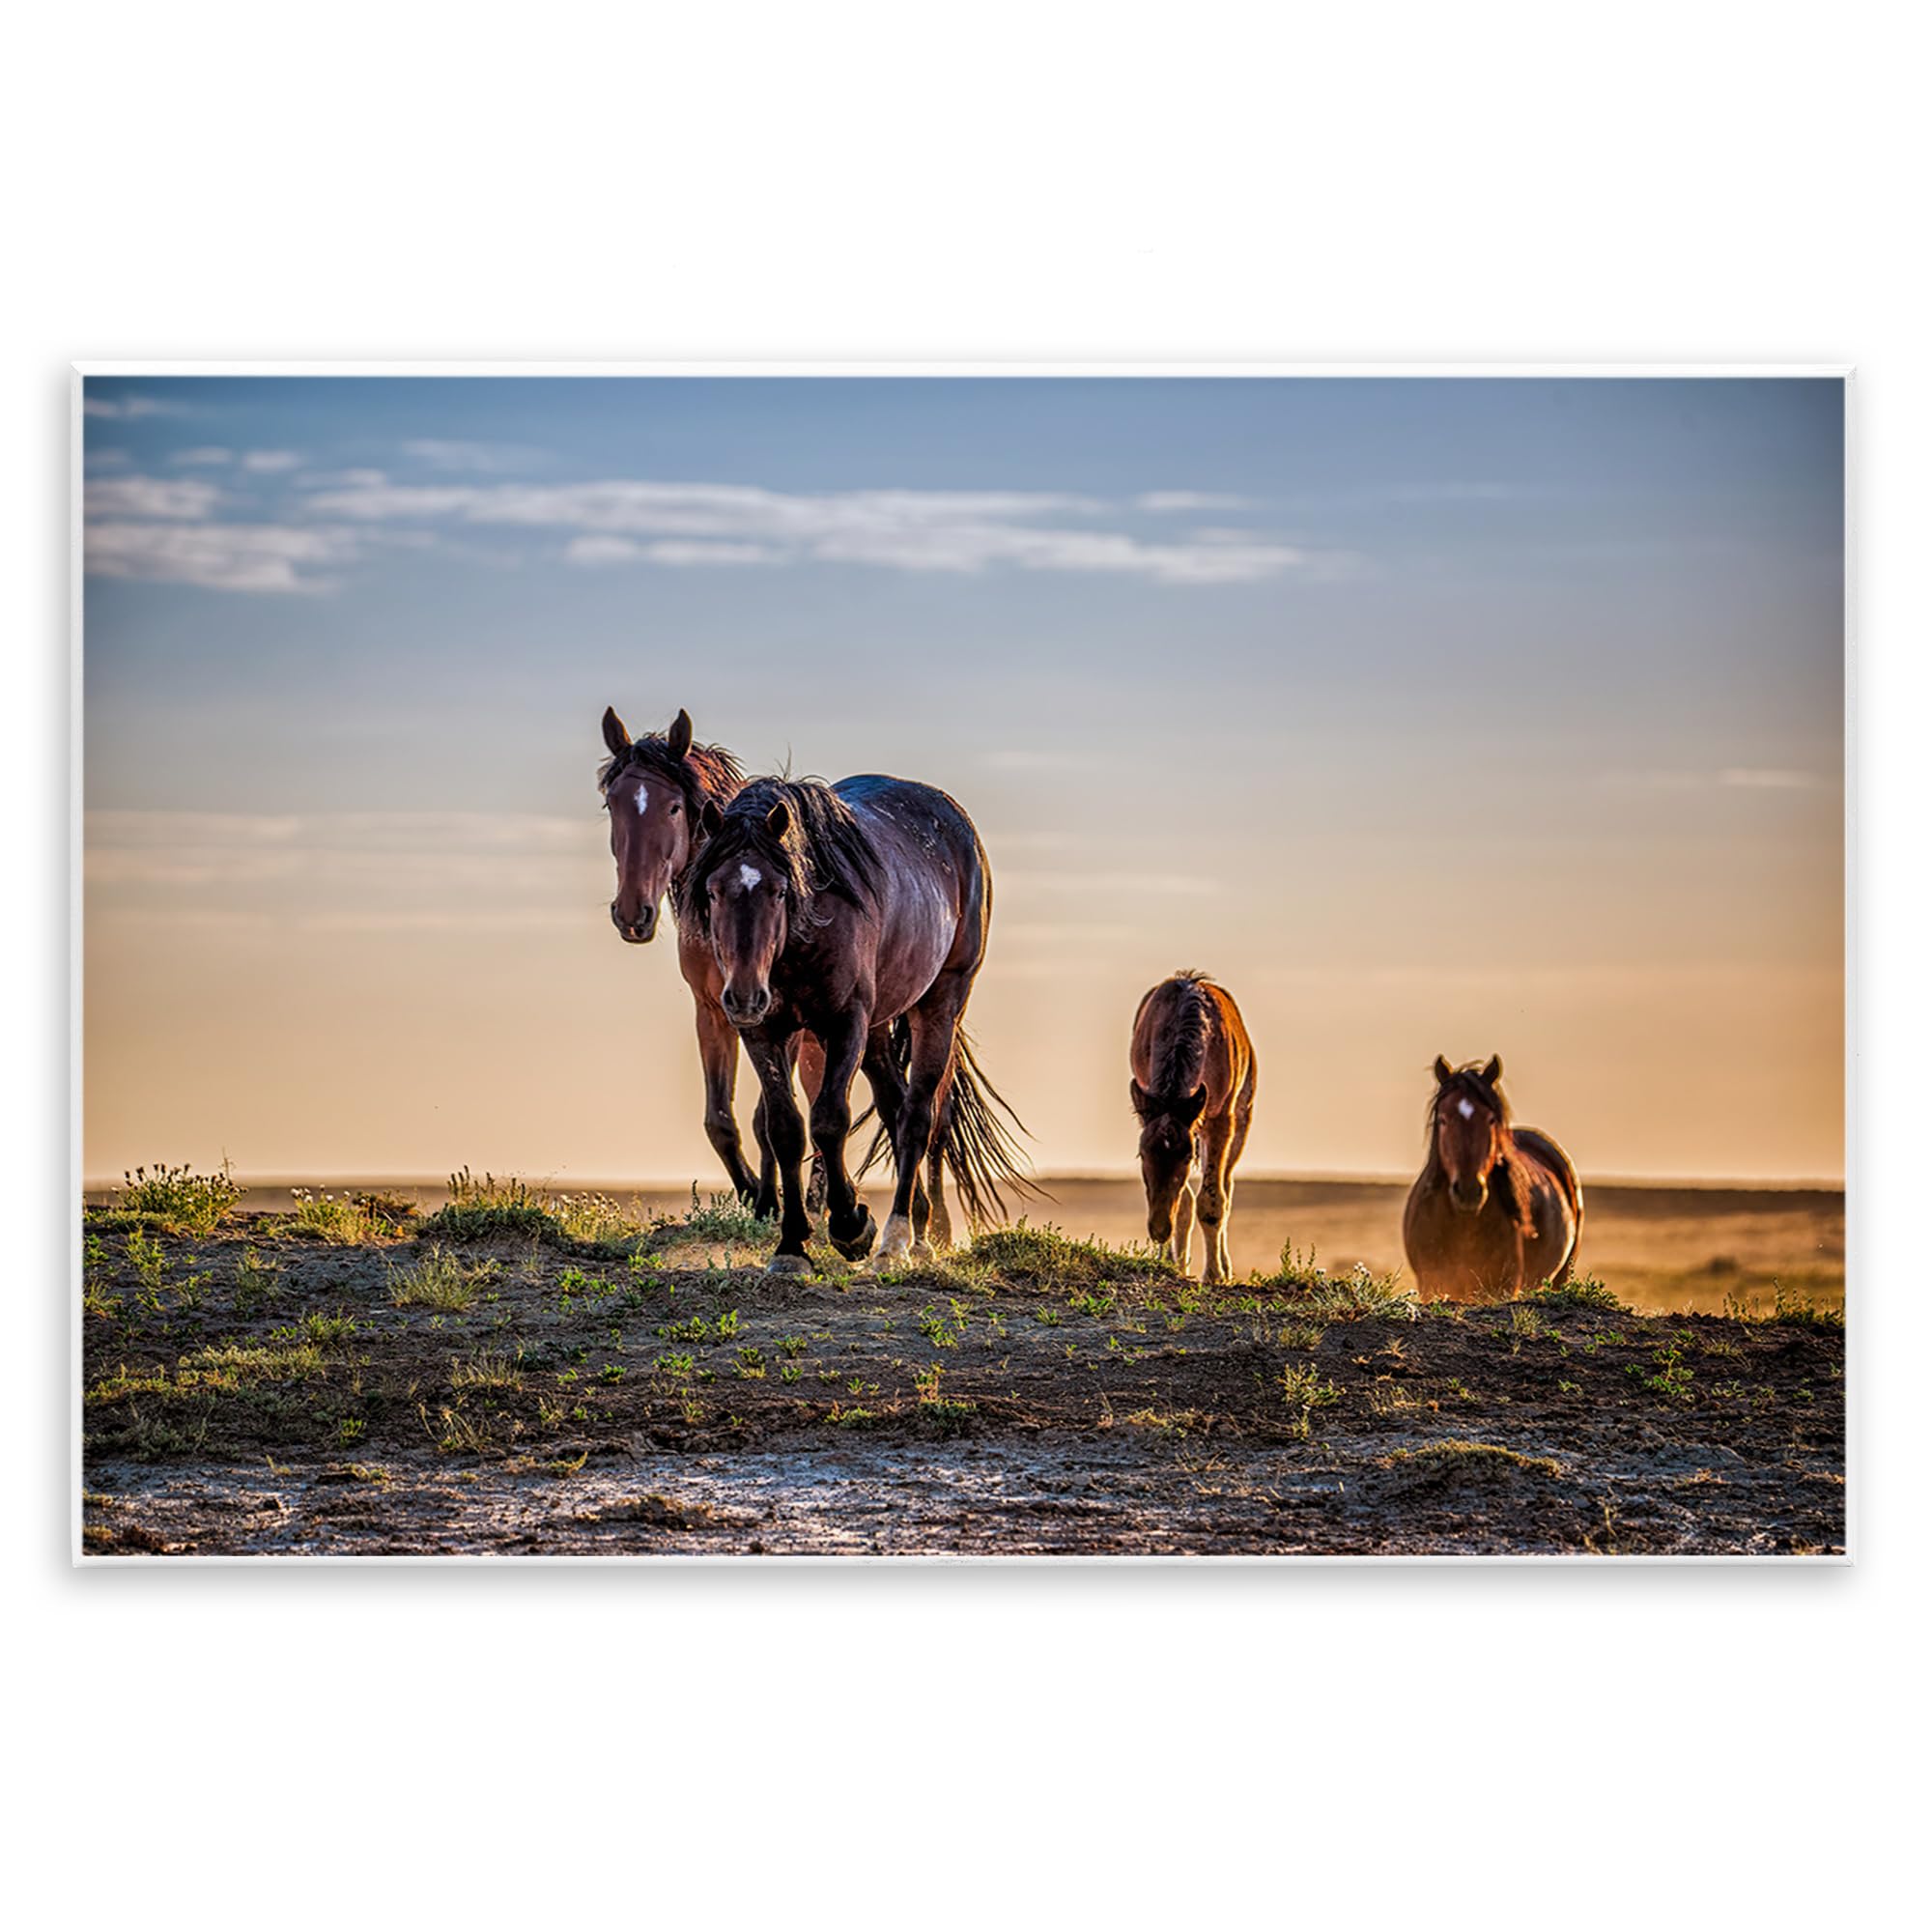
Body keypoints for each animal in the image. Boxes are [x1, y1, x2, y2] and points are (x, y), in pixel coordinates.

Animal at [598, 704, 828, 1215]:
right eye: (611, 805)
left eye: (673, 807)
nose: (632, 914)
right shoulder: (712, 1010)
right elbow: (720, 1120)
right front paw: (757, 1198)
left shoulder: (773, 1016)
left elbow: (766, 1118)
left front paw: (771, 1202)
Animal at [684, 771, 1033, 1273]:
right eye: (712, 892)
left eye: (779, 890)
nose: (745, 996)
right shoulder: (763, 1031)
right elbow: (785, 1128)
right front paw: (792, 1245)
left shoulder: (845, 1021)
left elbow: (830, 1119)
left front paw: (851, 1227)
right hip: (878, 1030)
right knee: (894, 1106)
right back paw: (918, 1228)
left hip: (940, 1003)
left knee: (917, 1116)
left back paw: (897, 1240)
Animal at [1128, 971, 1256, 1283]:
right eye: (1142, 1155)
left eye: (1186, 1157)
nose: (1159, 1228)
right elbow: (1184, 1201)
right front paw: (1170, 1262)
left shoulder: (1220, 1119)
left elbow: (1212, 1201)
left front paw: (1214, 1274)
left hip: (1241, 1119)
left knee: (1226, 1187)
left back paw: (1224, 1267)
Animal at [1402, 1055, 1583, 1303]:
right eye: (1443, 1120)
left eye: (1490, 1119)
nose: (1468, 1191)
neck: (1464, 1225)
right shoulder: (1429, 1283)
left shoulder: (1502, 1287)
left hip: (1562, 1273)